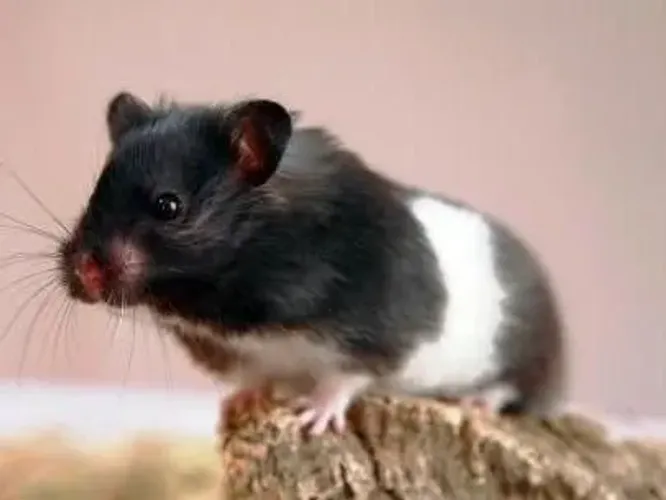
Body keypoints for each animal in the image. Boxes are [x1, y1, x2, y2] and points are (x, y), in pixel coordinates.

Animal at [58, 91, 565, 436]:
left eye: (168, 205)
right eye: (95, 193)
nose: (82, 273)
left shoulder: (372, 334)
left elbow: (344, 378)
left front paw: (312, 419)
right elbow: (257, 380)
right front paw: (242, 405)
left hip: (527, 356)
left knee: (517, 386)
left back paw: (477, 402)